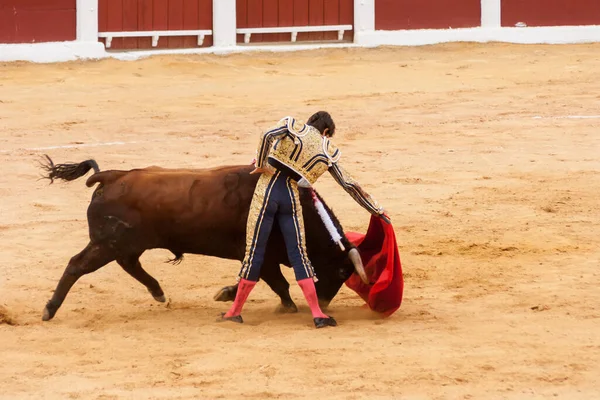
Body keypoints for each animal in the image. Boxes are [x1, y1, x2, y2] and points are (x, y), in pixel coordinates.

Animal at [39, 156, 368, 322]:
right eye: (342, 271)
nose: (324, 304)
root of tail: (110, 176)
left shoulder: (258, 255)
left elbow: (255, 278)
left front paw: (226, 294)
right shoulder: (263, 254)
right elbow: (277, 282)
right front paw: (286, 306)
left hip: (124, 244)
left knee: (129, 264)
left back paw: (159, 292)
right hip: (106, 243)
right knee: (77, 265)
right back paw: (49, 309)